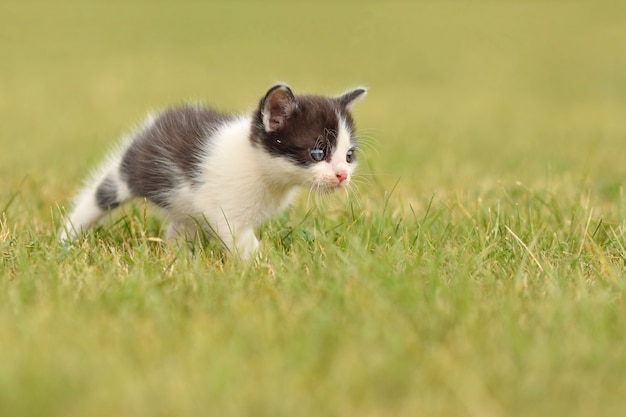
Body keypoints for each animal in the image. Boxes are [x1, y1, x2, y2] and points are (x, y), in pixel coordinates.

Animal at [58, 83, 366, 258]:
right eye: (318, 153)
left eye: (349, 156)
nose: (342, 175)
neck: (261, 169)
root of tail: (153, 123)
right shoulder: (226, 210)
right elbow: (241, 241)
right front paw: (267, 268)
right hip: (133, 173)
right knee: (101, 194)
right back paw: (66, 238)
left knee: (182, 224)